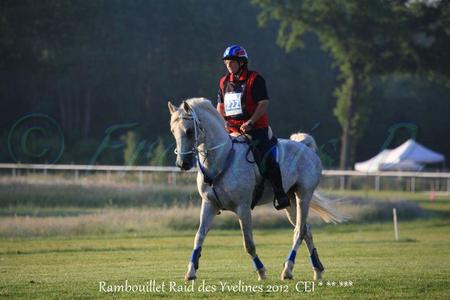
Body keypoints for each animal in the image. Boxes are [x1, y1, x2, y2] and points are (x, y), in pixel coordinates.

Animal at [167, 97, 346, 280]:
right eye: (173, 131)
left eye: (189, 131)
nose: (182, 163)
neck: (222, 160)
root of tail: (305, 146)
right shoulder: (209, 205)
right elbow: (199, 236)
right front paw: (191, 271)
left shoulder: (243, 208)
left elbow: (248, 243)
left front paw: (261, 271)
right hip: (290, 201)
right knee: (306, 230)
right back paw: (317, 270)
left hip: (304, 195)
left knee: (300, 230)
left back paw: (288, 269)